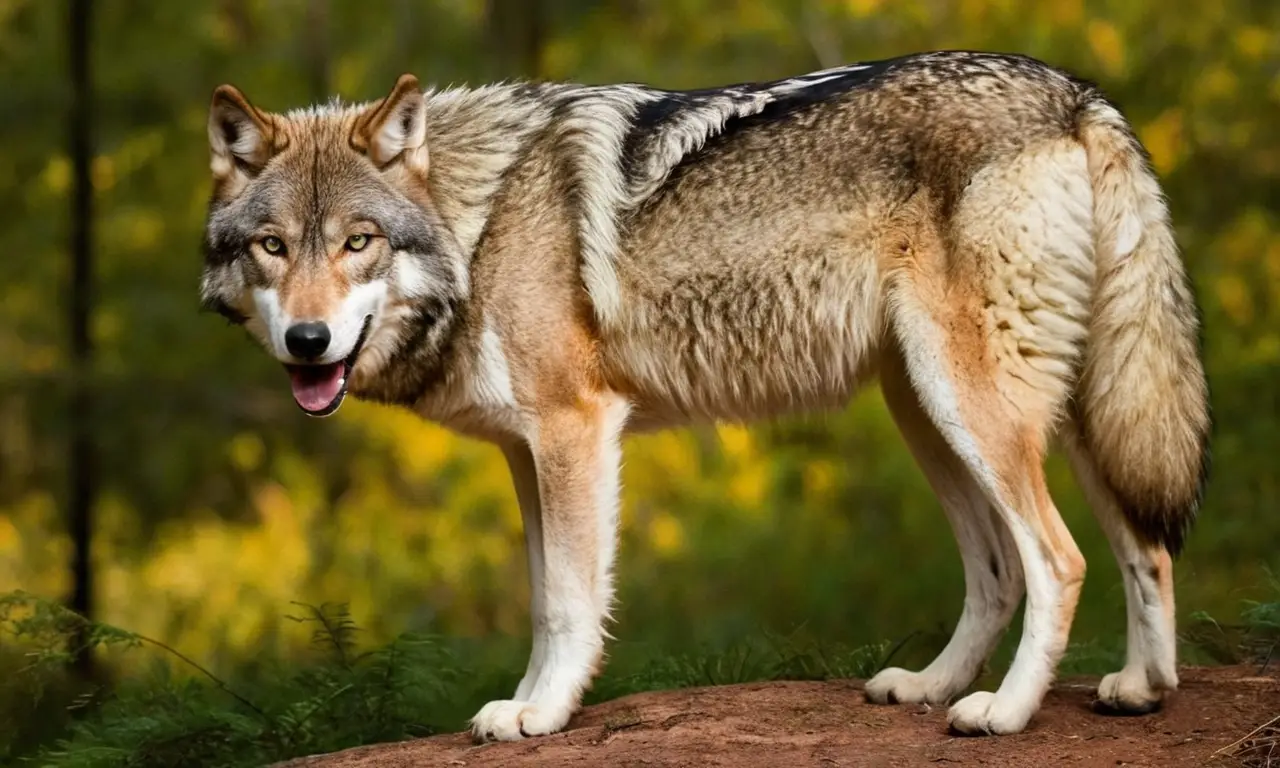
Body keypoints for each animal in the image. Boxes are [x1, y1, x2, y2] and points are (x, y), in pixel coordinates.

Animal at [200, 50, 1211, 740]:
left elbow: (569, 600)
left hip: (972, 405)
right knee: (1105, 551)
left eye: (358, 243)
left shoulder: (575, 431)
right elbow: (542, 595)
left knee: (1059, 559)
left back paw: (1000, 711)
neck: (474, 224)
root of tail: (1074, 92)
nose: (306, 341)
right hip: (968, 411)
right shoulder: (526, 454)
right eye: (274, 247)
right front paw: (524, 704)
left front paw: (542, 715)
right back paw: (1093, 689)